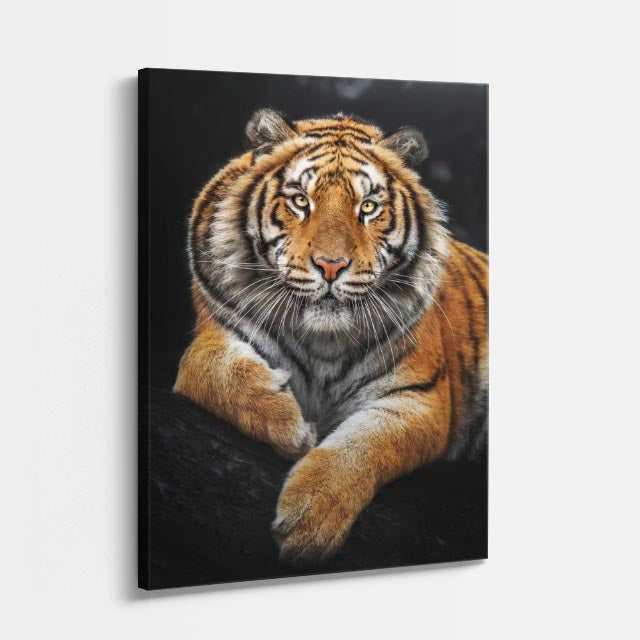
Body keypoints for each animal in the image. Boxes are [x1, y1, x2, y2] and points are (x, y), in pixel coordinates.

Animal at [174, 108, 488, 564]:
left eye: (369, 207)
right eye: (301, 201)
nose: (331, 266)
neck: (322, 341)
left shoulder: (421, 398)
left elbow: (364, 446)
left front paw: (312, 519)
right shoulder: (214, 333)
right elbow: (214, 370)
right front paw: (289, 425)